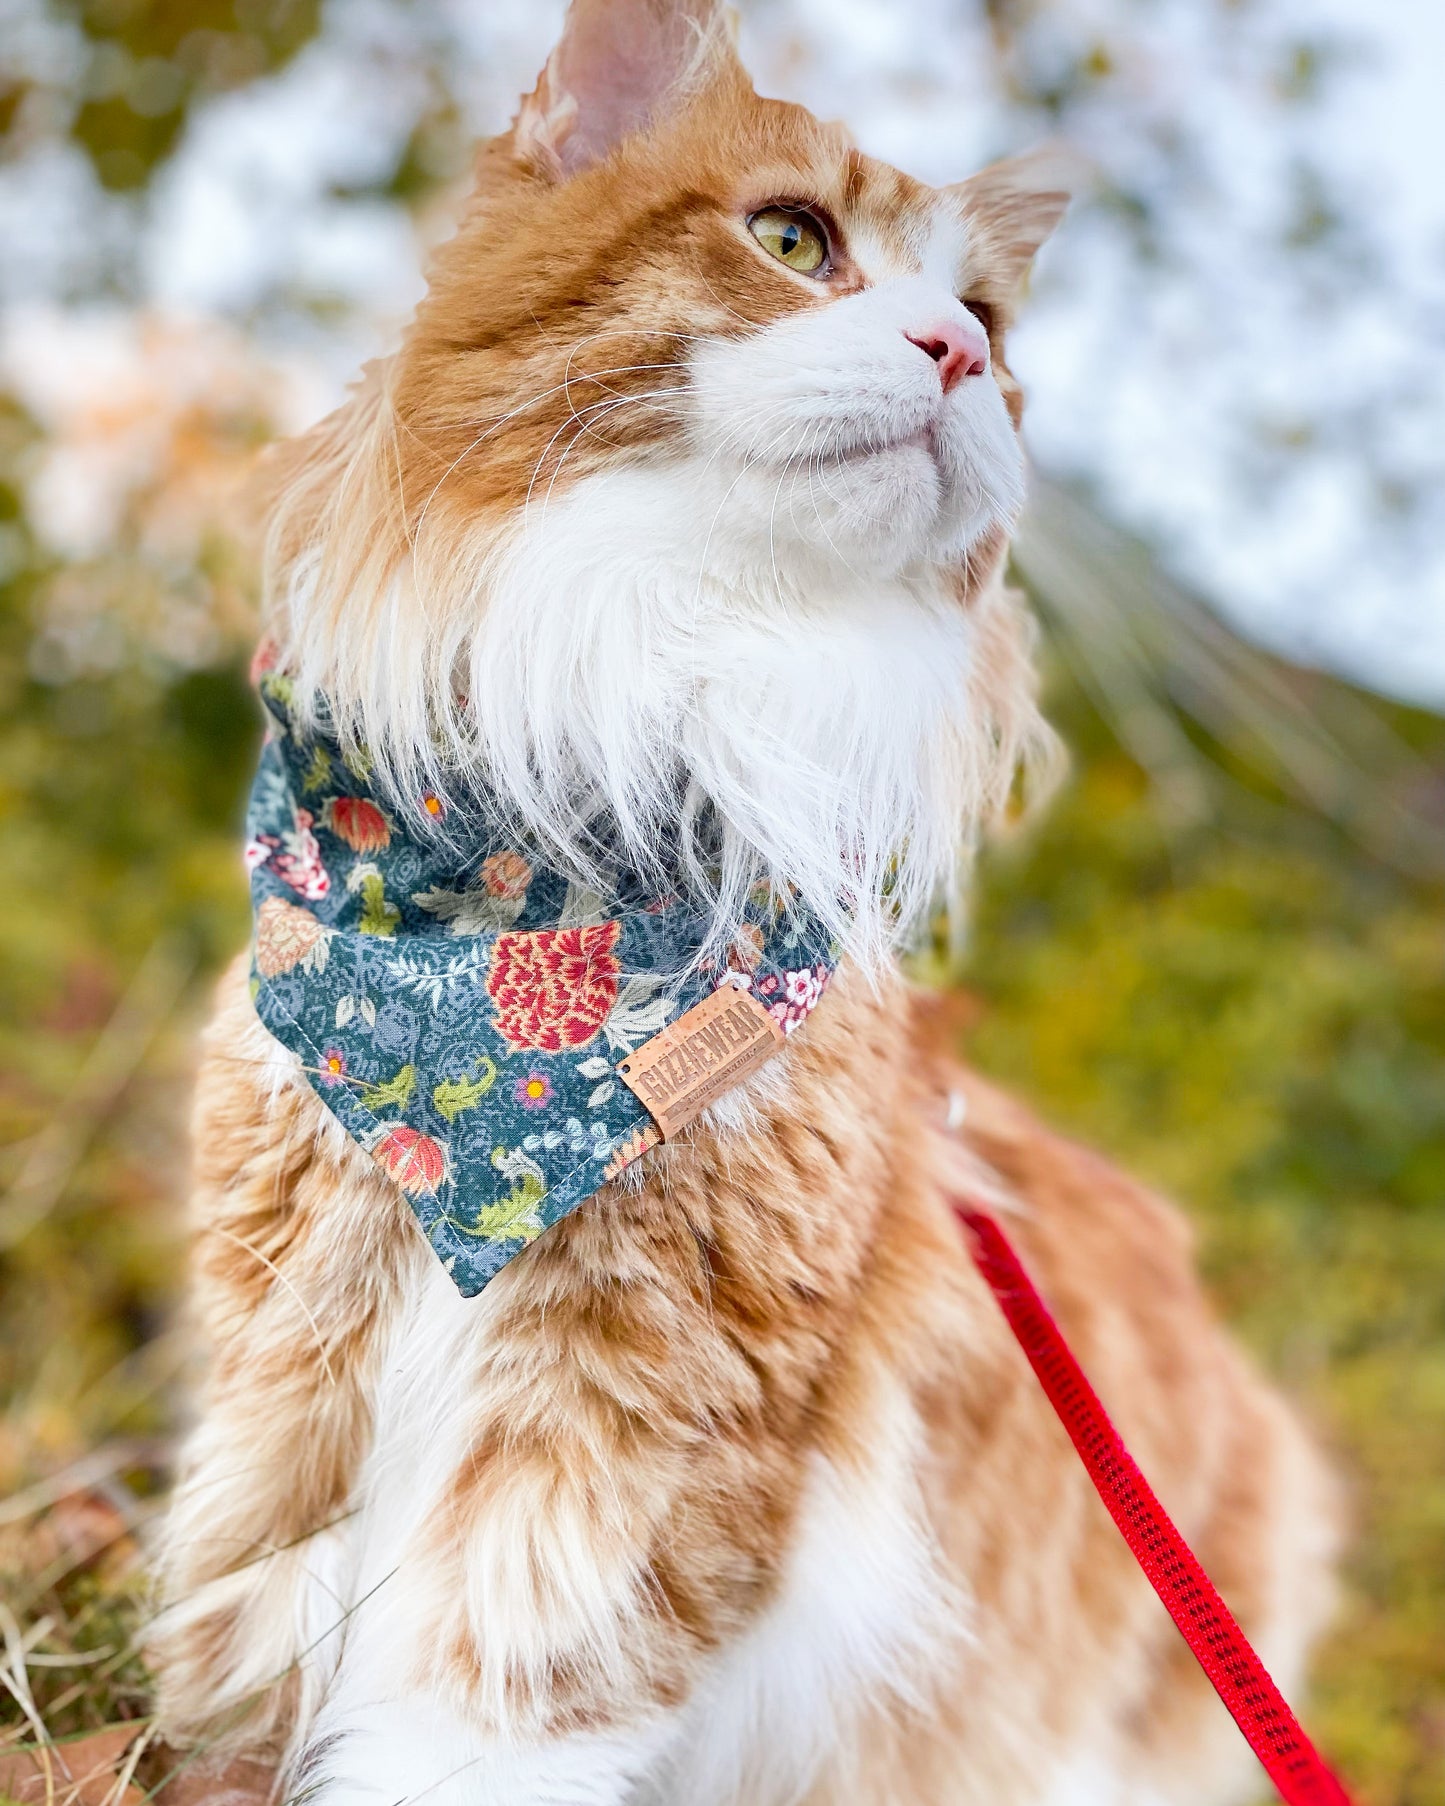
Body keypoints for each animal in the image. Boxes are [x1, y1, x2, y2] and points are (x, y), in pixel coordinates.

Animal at [152, 7, 1336, 1798]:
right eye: (793, 242)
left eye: (991, 320)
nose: (957, 352)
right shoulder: (295, 1348)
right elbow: (263, 1619)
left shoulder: (637, 1420)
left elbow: (479, 1714)